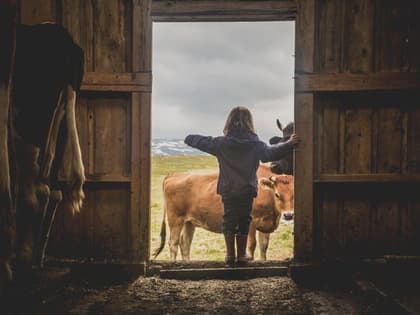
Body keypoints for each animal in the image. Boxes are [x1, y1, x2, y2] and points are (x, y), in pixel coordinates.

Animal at [153, 163, 294, 262]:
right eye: (277, 194)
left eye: (294, 194)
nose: (288, 215)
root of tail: (174, 175)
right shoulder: (252, 222)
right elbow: (251, 246)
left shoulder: (265, 225)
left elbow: (263, 248)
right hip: (175, 219)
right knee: (173, 243)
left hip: (189, 222)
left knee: (185, 244)